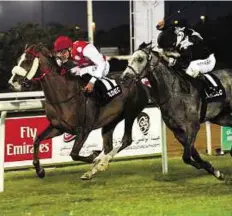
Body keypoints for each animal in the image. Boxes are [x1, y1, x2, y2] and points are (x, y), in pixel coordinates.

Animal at [8, 43, 149, 179]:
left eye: (28, 60)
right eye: (18, 59)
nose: (12, 82)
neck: (63, 95)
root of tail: (138, 80)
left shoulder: (83, 130)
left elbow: (74, 154)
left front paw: (94, 156)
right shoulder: (57, 127)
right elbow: (36, 140)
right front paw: (39, 170)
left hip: (130, 113)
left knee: (126, 140)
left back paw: (100, 163)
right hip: (111, 121)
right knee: (108, 146)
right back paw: (93, 170)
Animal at [120, 42, 232, 181]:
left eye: (140, 59)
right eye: (129, 60)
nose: (124, 78)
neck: (173, 93)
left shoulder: (192, 127)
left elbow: (187, 157)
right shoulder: (177, 131)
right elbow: (193, 155)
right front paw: (215, 171)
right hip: (221, 117)